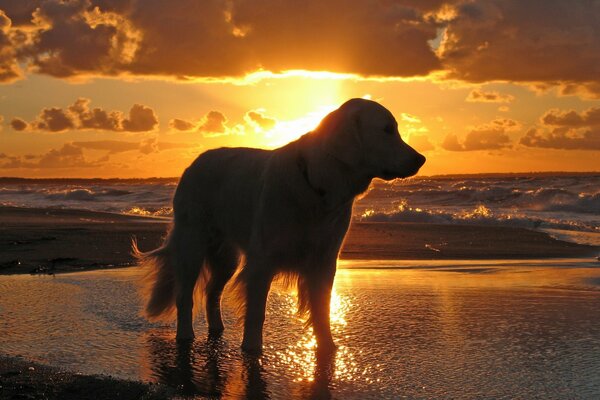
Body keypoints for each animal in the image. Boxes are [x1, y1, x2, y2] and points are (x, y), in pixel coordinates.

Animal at [136, 97, 426, 354]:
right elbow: (256, 313)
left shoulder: (324, 260)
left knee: (211, 292)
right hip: (192, 245)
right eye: (387, 130)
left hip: (226, 257)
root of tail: (192, 165)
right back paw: (185, 336)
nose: (421, 159)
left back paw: (217, 330)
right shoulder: (262, 262)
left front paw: (328, 349)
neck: (316, 186)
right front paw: (252, 350)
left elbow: (322, 309)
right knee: (184, 295)